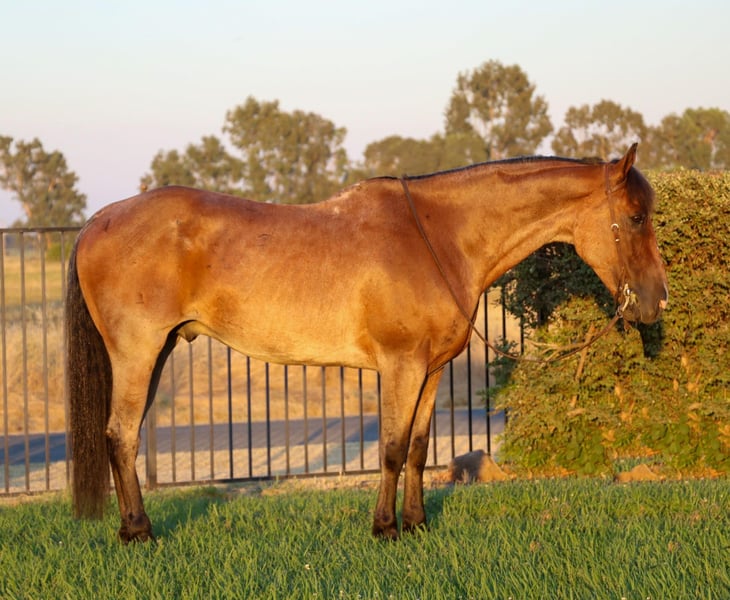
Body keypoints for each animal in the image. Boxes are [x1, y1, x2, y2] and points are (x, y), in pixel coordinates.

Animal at [66, 143, 668, 543]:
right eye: (636, 217)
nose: (657, 301)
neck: (440, 237)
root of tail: (99, 219)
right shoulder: (401, 366)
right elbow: (393, 448)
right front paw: (385, 529)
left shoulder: (432, 369)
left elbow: (420, 448)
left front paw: (418, 524)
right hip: (138, 353)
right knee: (120, 436)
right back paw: (138, 533)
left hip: (159, 351)